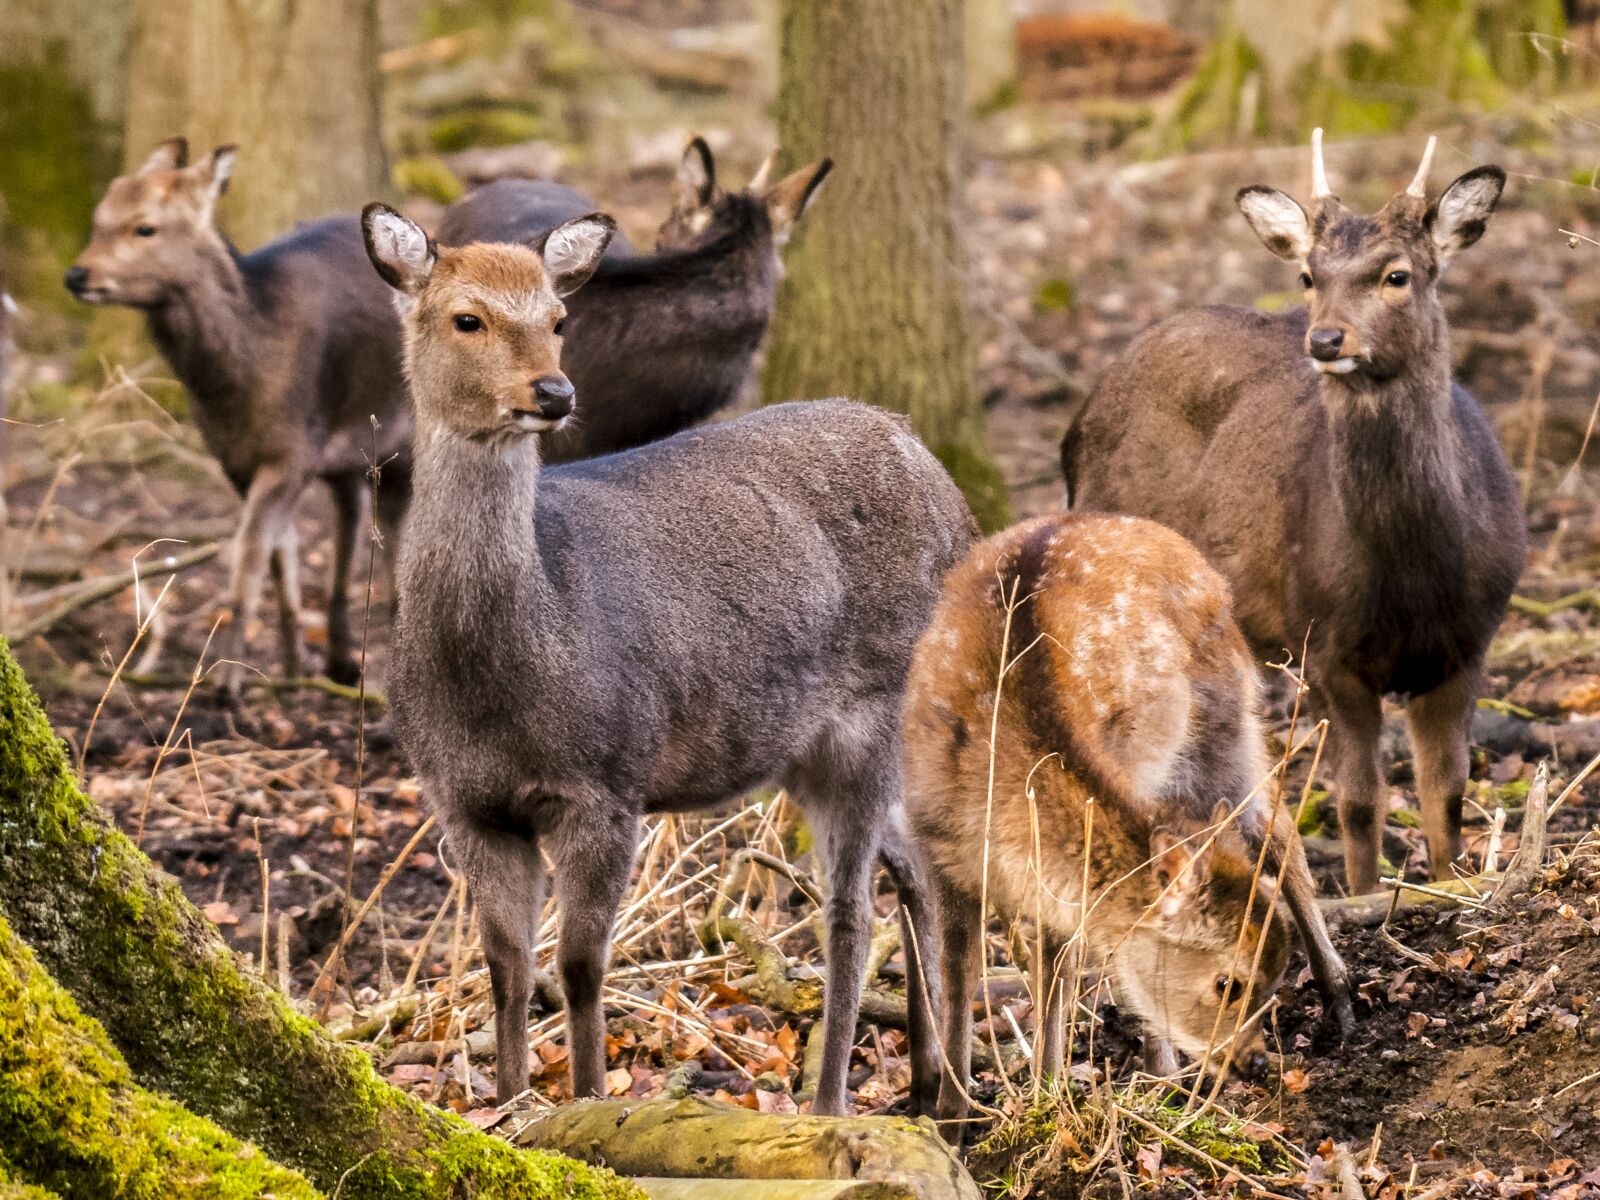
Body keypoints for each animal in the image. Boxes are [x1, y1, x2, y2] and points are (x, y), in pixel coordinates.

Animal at [65, 139, 412, 696]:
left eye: (145, 227)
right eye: (100, 217)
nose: (77, 275)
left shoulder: (292, 450)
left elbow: (248, 558)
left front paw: (228, 685)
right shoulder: (239, 459)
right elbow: (279, 555)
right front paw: (291, 669)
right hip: (351, 447)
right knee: (353, 514)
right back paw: (339, 658)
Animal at [361, 202, 974, 1115]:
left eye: (559, 319)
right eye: (466, 317)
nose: (554, 393)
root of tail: (939, 474)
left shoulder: (607, 783)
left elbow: (581, 966)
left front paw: (586, 1100)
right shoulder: (462, 801)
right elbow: (507, 966)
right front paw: (505, 1100)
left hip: (874, 707)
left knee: (851, 908)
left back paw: (835, 1102)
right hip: (815, 746)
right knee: (917, 871)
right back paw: (936, 1087)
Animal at [903, 512, 1354, 1137]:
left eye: (1269, 984)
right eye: (1229, 983)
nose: (1256, 1061)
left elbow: (1057, 968)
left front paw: (1048, 1095)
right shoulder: (935, 845)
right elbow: (959, 975)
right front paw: (952, 1120)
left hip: (1228, 719)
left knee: (1279, 828)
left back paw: (1338, 1000)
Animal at [1061, 132, 1525, 895]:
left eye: (1397, 274)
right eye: (1308, 276)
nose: (1327, 340)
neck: (1416, 574)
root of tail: (1077, 421)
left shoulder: (1469, 643)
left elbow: (1446, 790)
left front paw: (1451, 882)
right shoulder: (1327, 645)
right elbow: (1360, 802)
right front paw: (1367, 897)